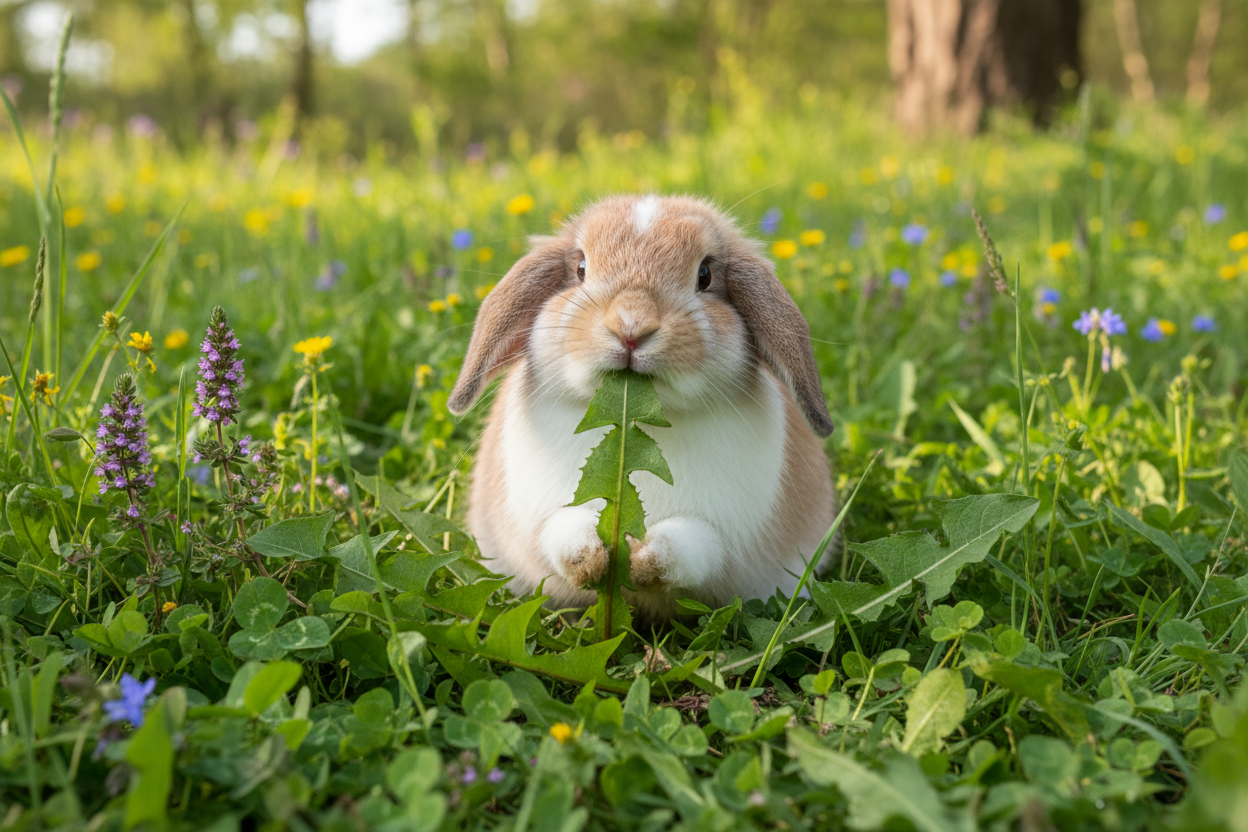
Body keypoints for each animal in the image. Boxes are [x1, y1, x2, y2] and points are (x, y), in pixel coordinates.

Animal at [447, 194, 835, 620]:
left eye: (705, 275)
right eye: (580, 268)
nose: (631, 327)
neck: (643, 426)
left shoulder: (722, 538)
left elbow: (692, 547)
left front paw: (643, 560)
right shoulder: (539, 523)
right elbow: (560, 534)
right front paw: (593, 558)